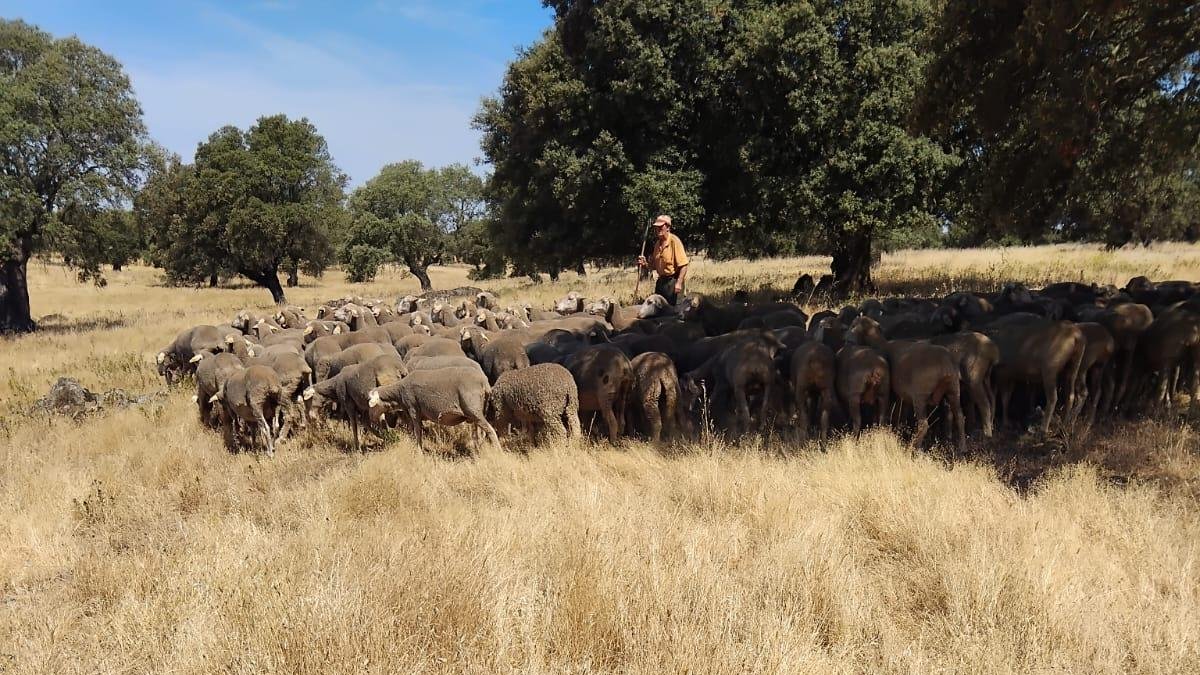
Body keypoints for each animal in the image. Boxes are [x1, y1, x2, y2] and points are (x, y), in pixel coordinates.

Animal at [368, 367, 500, 451]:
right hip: (477, 412)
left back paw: (498, 453)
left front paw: (419, 451)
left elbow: (417, 432)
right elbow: (413, 432)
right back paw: (478, 451)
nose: (371, 418)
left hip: (474, 410)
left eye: (371, 403)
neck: (399, 393)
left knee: (491, 431)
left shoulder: (413, 410)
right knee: (478, 434)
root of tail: (485, 383)